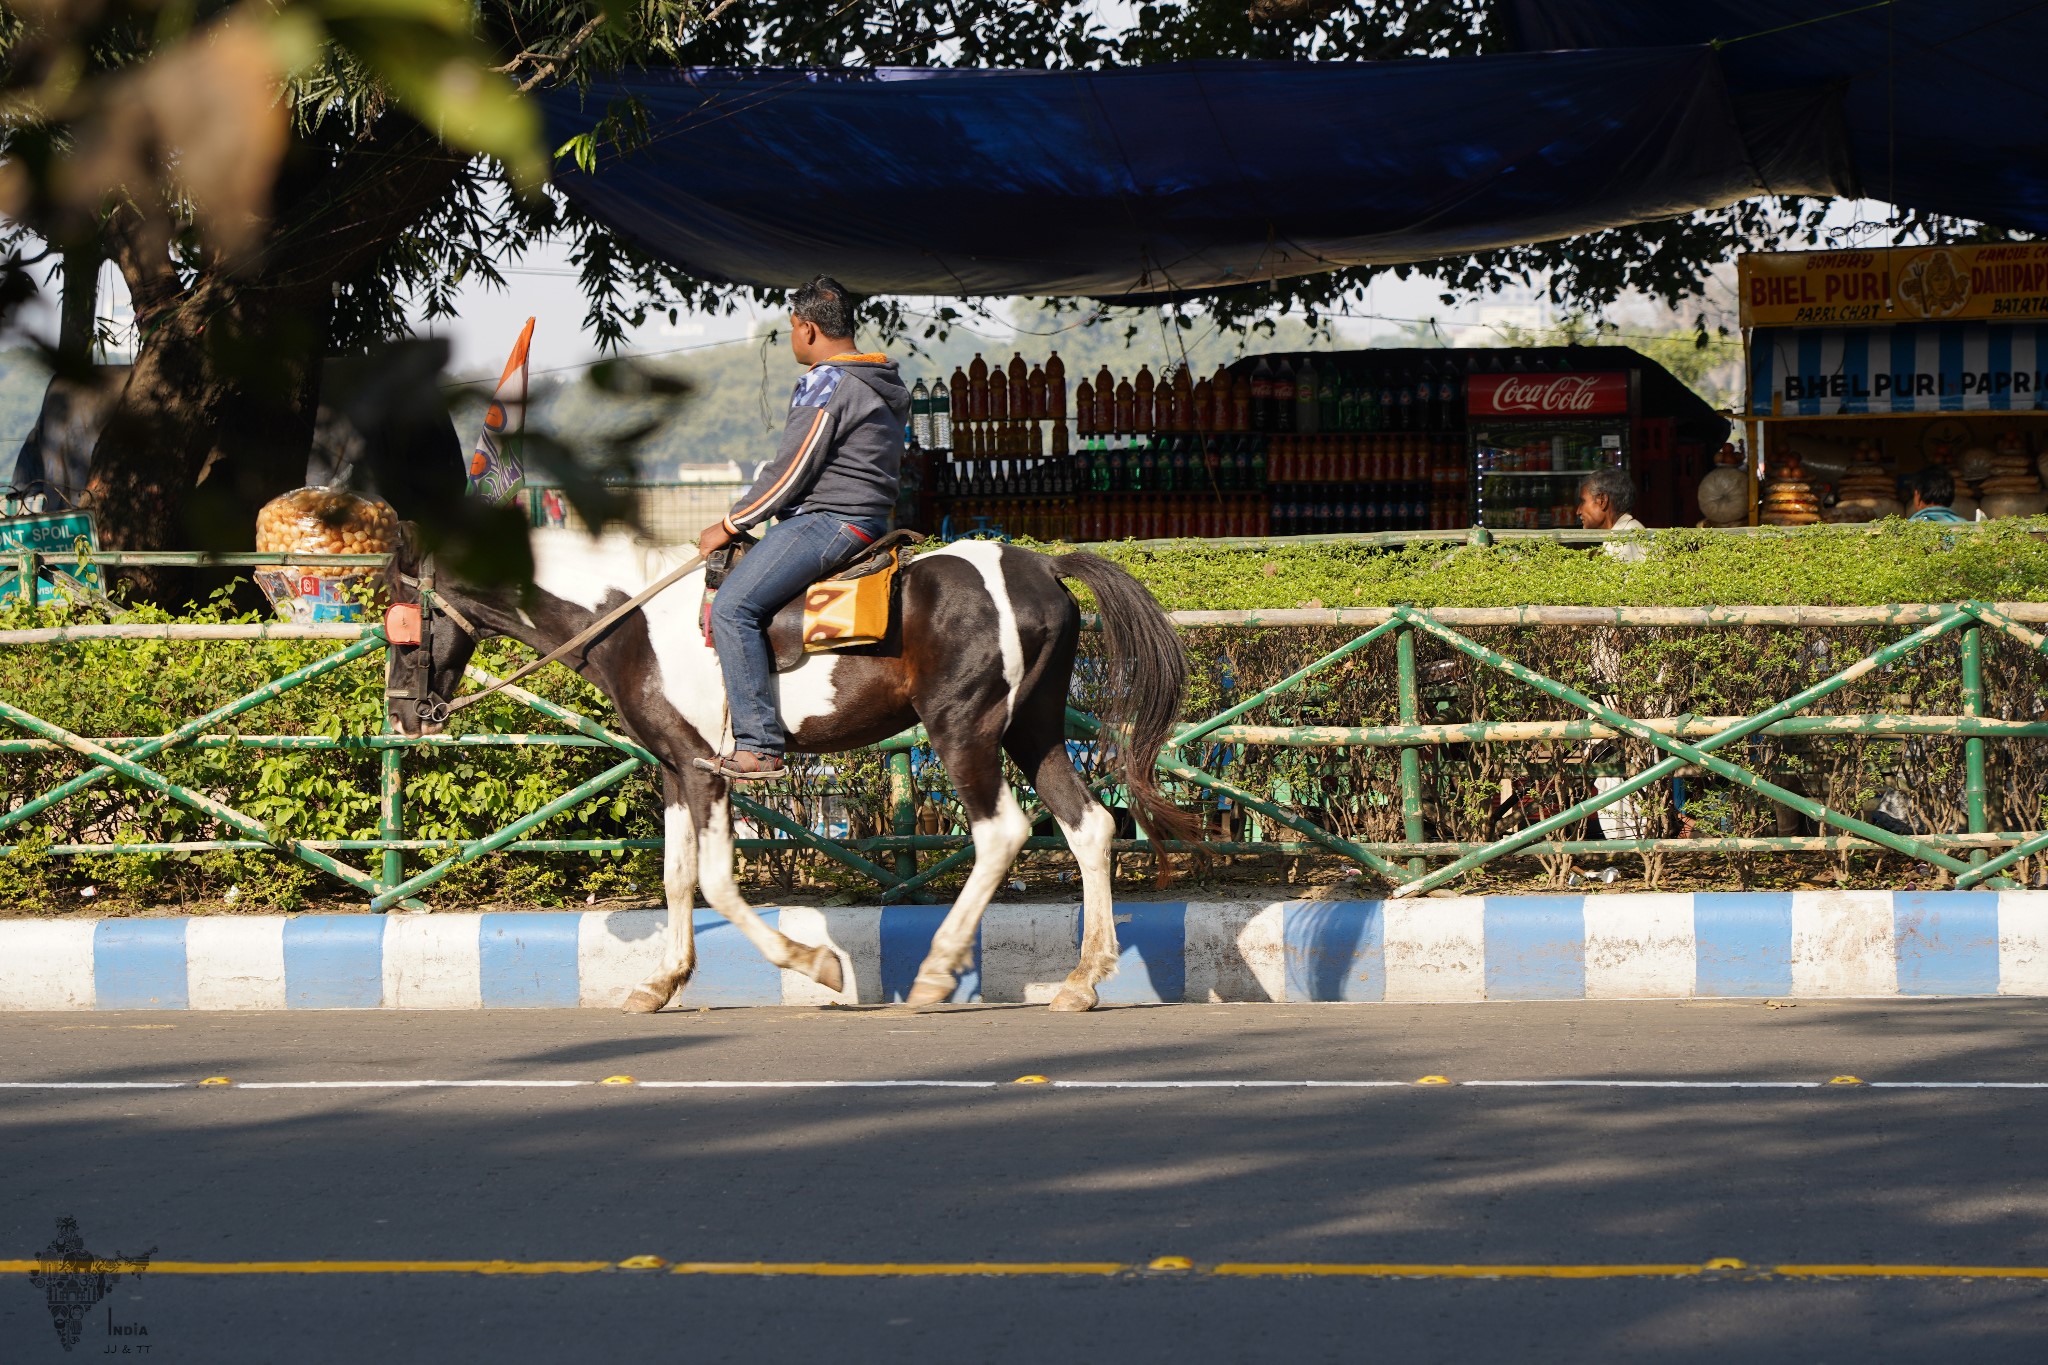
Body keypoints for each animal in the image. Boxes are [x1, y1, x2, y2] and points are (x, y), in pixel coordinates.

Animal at [380, 527, 1196, 1010]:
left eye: (402, 620)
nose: (402, 716)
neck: (632, 616)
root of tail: (1041, 566)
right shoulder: (674, 767)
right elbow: (676, 876)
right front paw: (663, 980)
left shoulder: (708, 770)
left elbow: (714, 880)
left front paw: (814, 963)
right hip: (1035, 728)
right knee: (1088, 824)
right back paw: (1084, 978)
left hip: (964, 728)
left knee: (1002, 831)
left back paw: (938, 968)